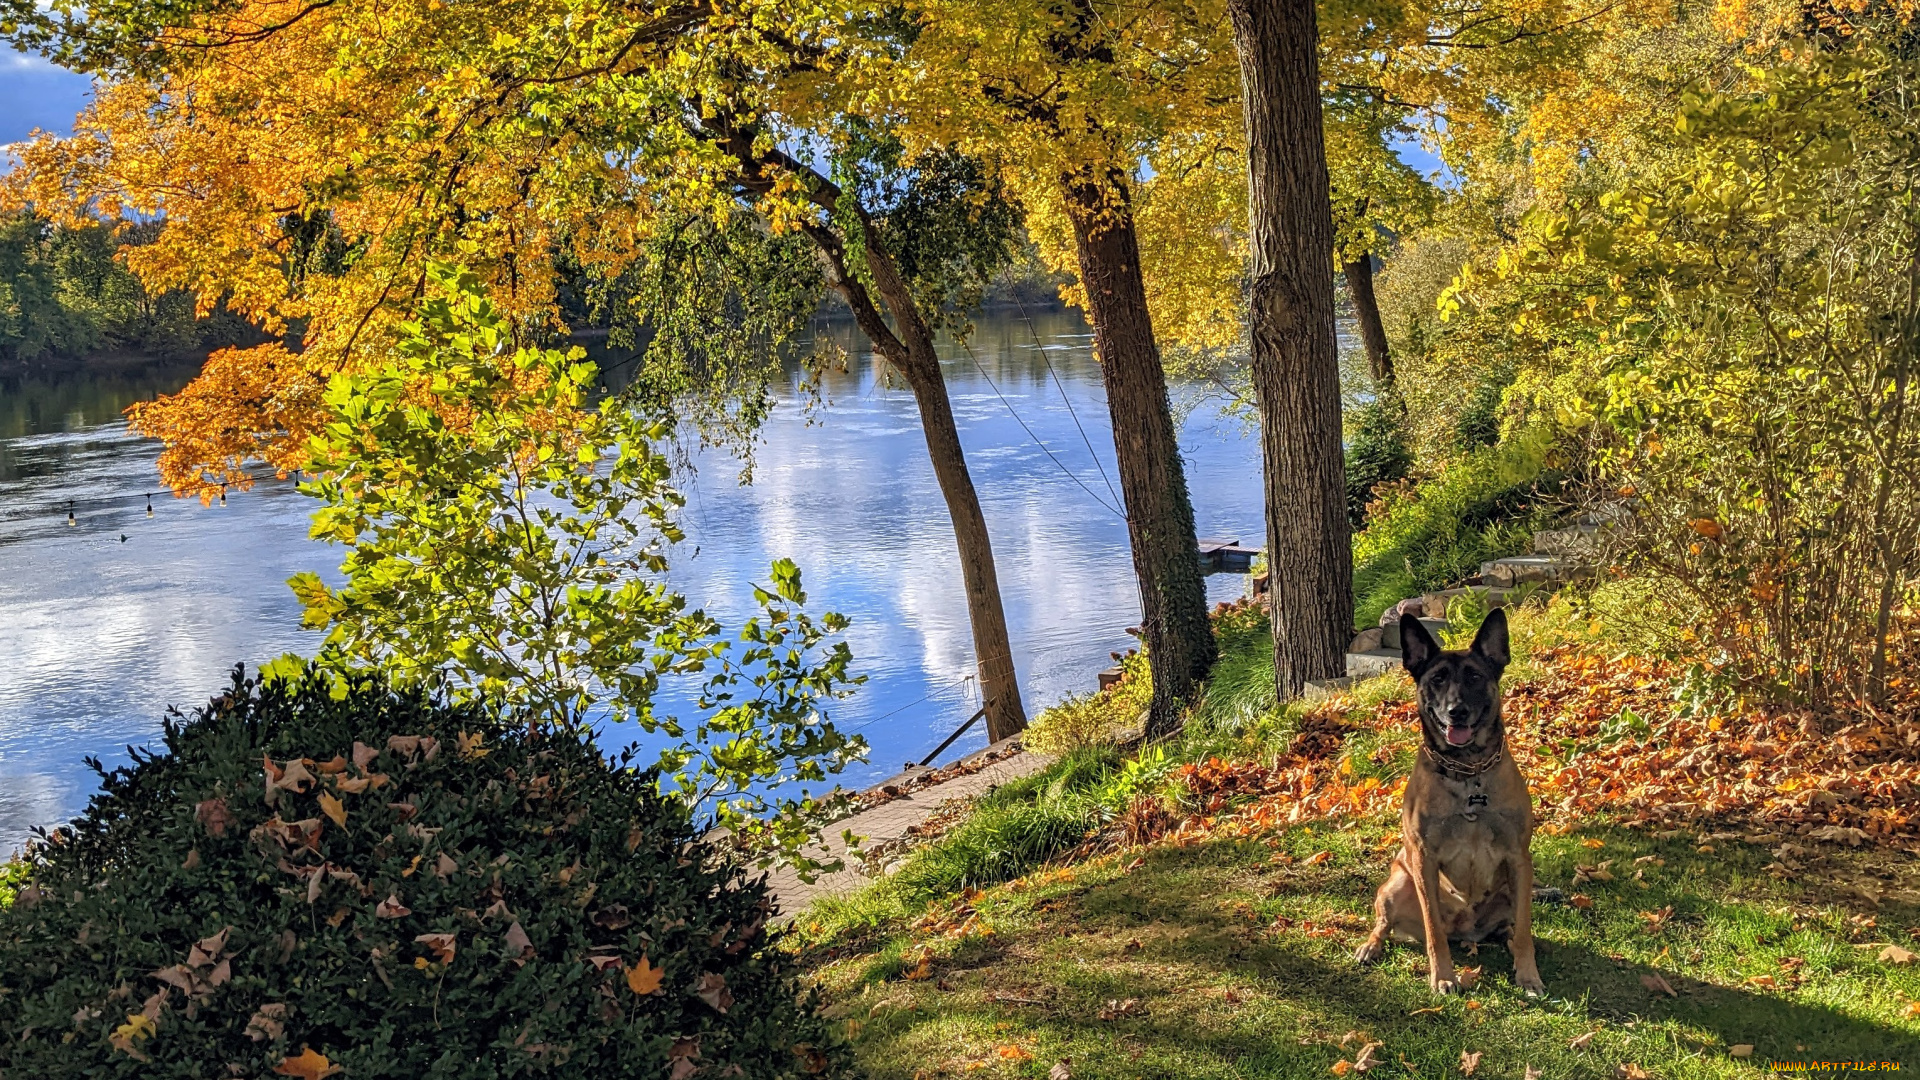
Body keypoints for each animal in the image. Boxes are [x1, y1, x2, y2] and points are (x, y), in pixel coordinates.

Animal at [1351, 607, 1543, 991]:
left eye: (1474, 676)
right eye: (1437, 679)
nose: (1457, 711)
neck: (1468, 773)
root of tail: (1466, 931)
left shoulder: (1519, 859)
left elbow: (1525, 929)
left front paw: (1529, 974)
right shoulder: (1423, 858)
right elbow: (1433, 931)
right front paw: (1443, 976)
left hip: (1511, 890)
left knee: (1511, 926)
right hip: (1398, 883)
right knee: (1385, 924)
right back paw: (1370, 946)